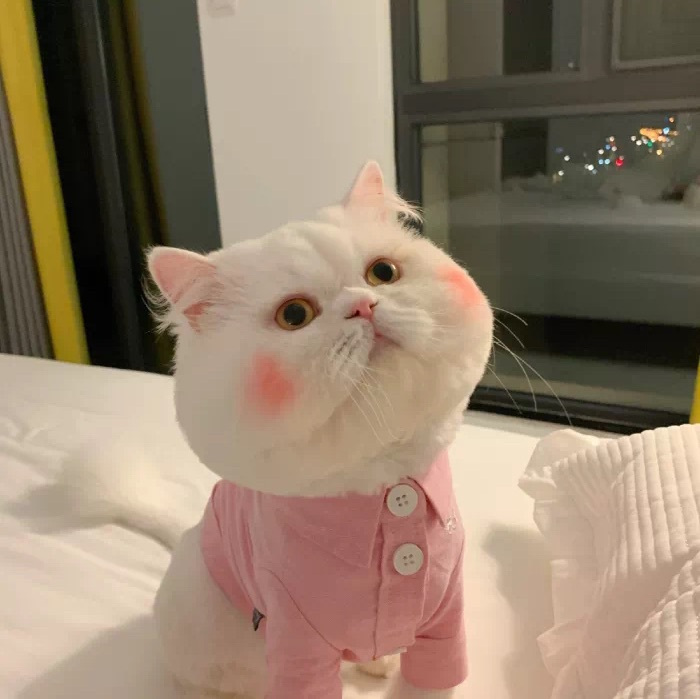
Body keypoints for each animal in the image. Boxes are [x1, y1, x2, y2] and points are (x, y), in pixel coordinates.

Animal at [147, 161, 494, 698]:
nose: (363, 305)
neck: (383, 483)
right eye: (295, 315)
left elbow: (431, 683)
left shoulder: (443, 621)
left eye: (383, 273)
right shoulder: (299, 646)